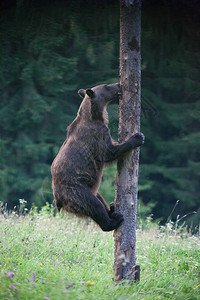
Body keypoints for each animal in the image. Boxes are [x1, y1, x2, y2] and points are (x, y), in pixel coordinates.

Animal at [50, 83, 145, 231]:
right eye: (106, 86)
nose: (118, 84)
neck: (95, 116)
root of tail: (58, 201)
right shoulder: (97, 133)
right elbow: (108, 153)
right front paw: (137, 137)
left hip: (90, 188)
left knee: (100, 199)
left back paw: (112, 209)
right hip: (76, 190)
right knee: (94, 205)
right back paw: (113, 221)